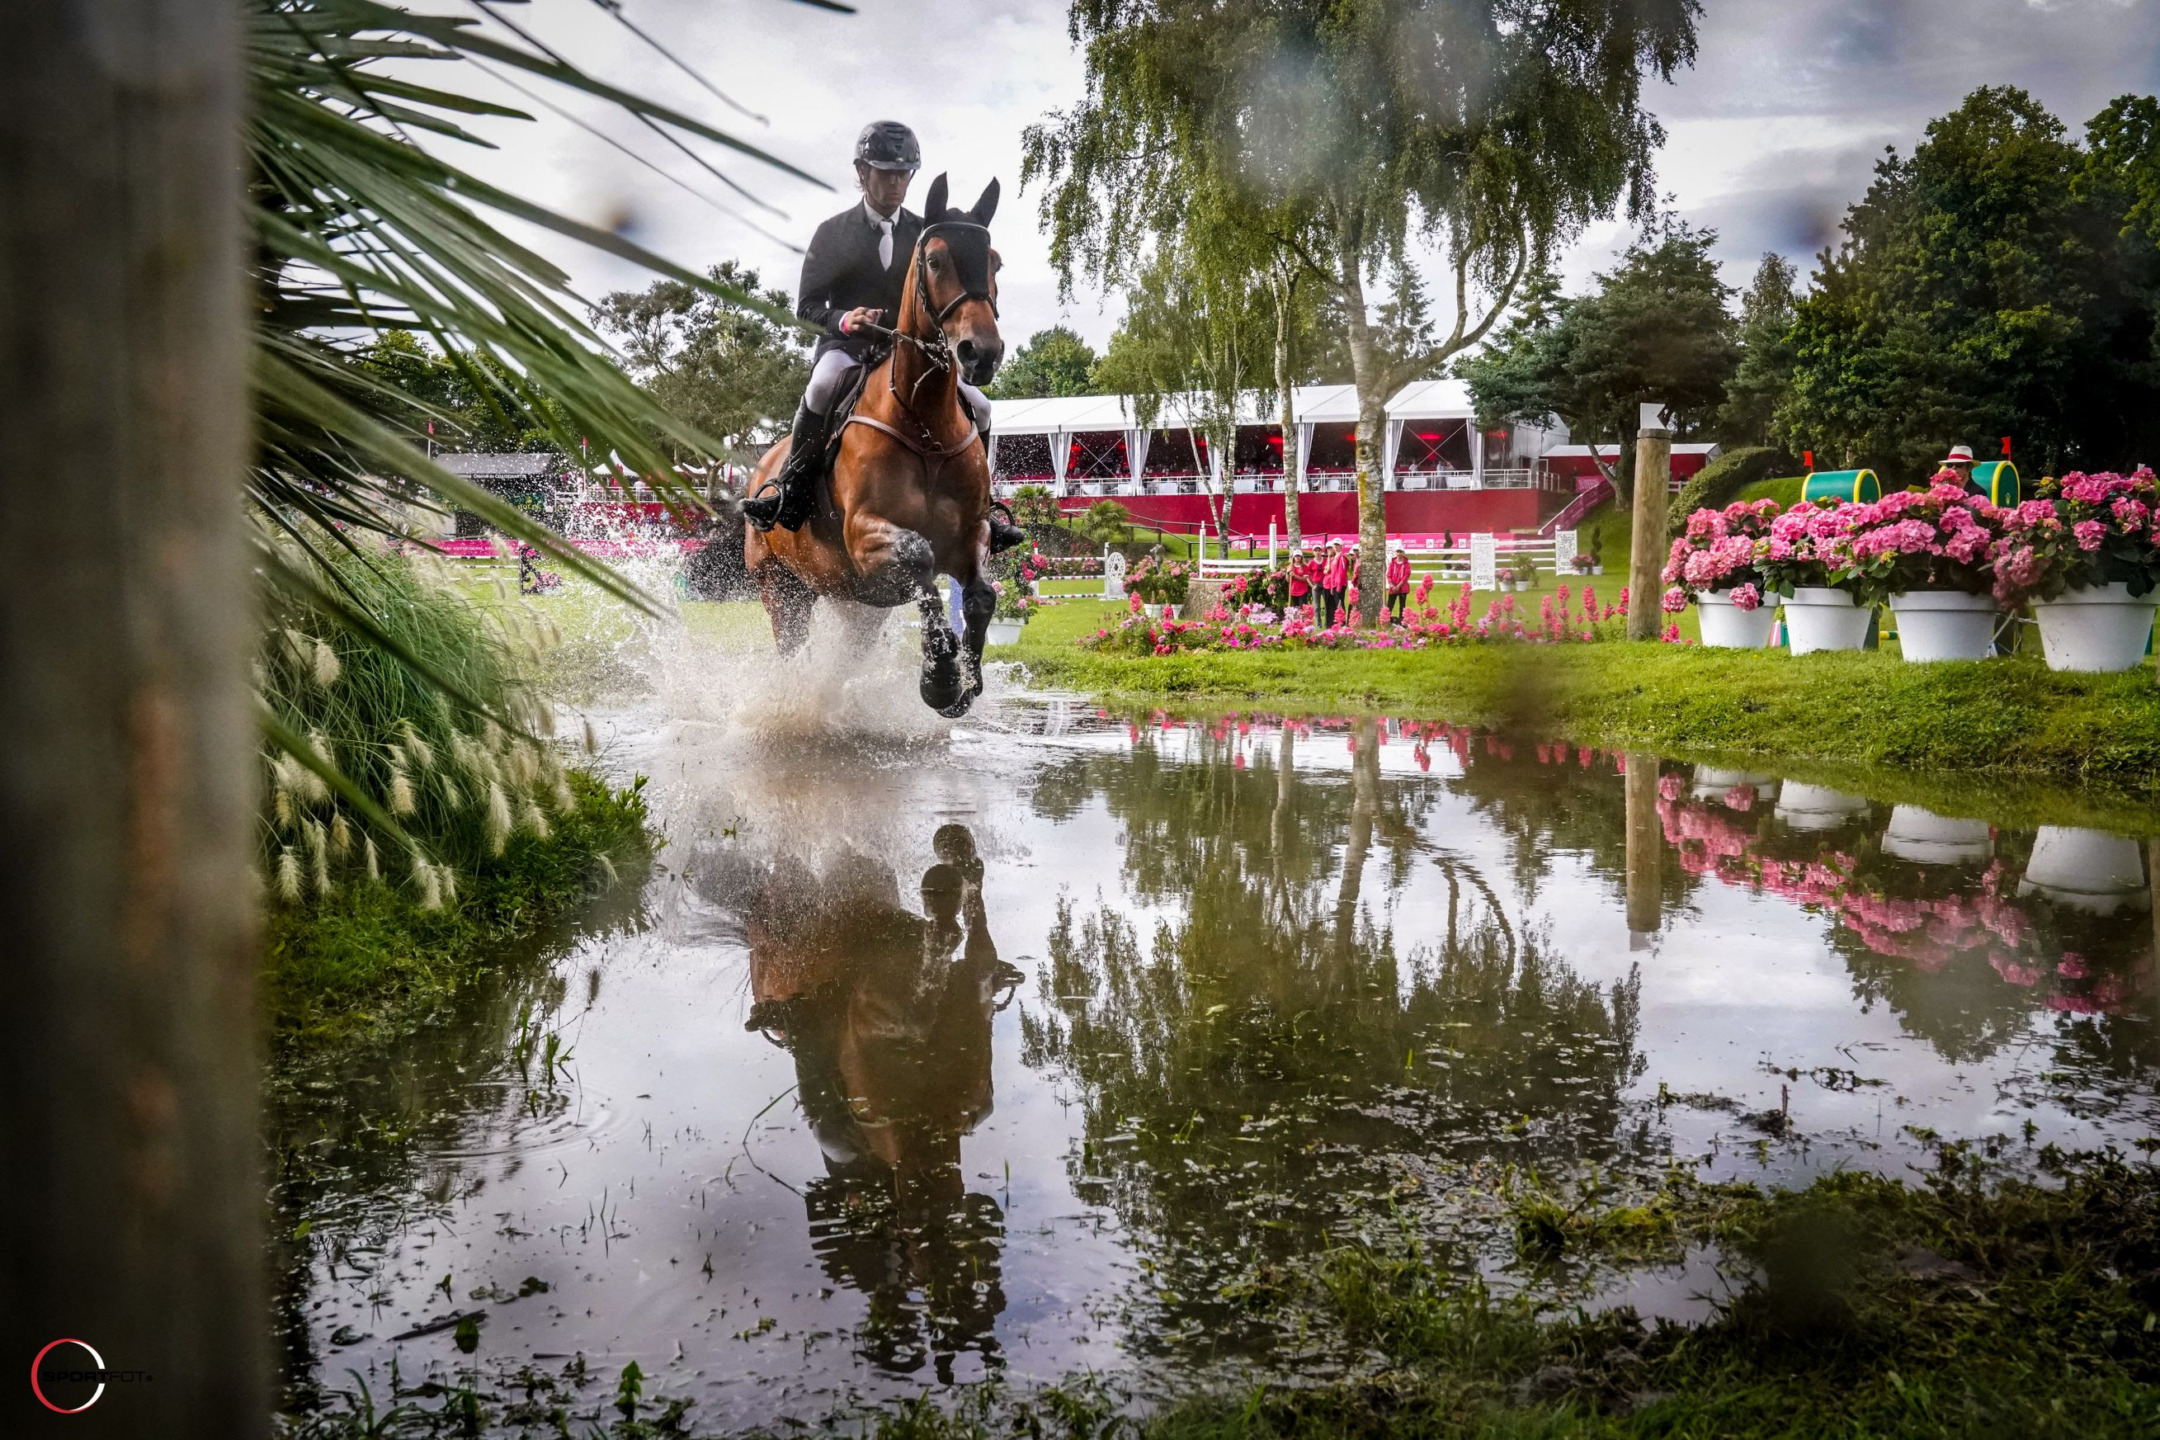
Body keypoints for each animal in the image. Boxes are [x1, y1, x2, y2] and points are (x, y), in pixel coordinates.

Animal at [743, 177, 1002, 716]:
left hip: (856, 603)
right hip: (782, 590)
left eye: (995, 262)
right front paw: (940, 678)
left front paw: (965, 682)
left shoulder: (972, 535)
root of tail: (762, 466)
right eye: (934, 261)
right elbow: (920, 559)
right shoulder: (867, 538)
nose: (981, 354)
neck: (926, 425)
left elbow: (981, 595)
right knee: (791, 649)